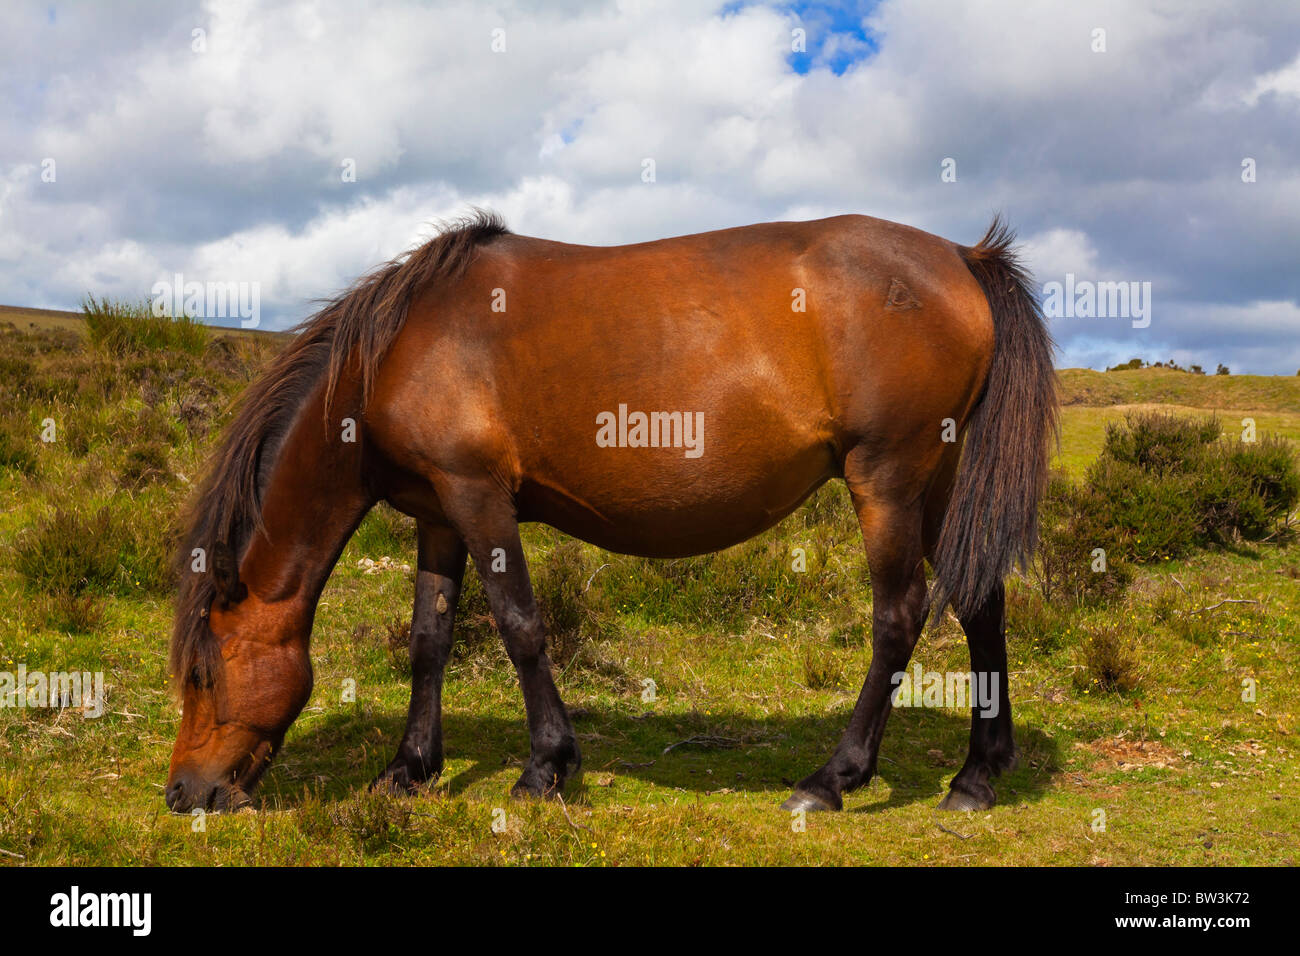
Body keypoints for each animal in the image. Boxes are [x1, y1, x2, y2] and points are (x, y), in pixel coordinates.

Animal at [165, 210, 1056, 815]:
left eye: (204, 674)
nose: (183, 793)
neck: (395, 353)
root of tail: (962, 258)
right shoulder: (439, 514)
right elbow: (429, 642)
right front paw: (408, 768)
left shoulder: (478, 495)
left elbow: (520, 627)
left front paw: (545, 767)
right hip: (938, 482)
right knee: (982, 604)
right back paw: (977, 775)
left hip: (888, 479)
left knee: (899, 616)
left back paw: (831, 778)